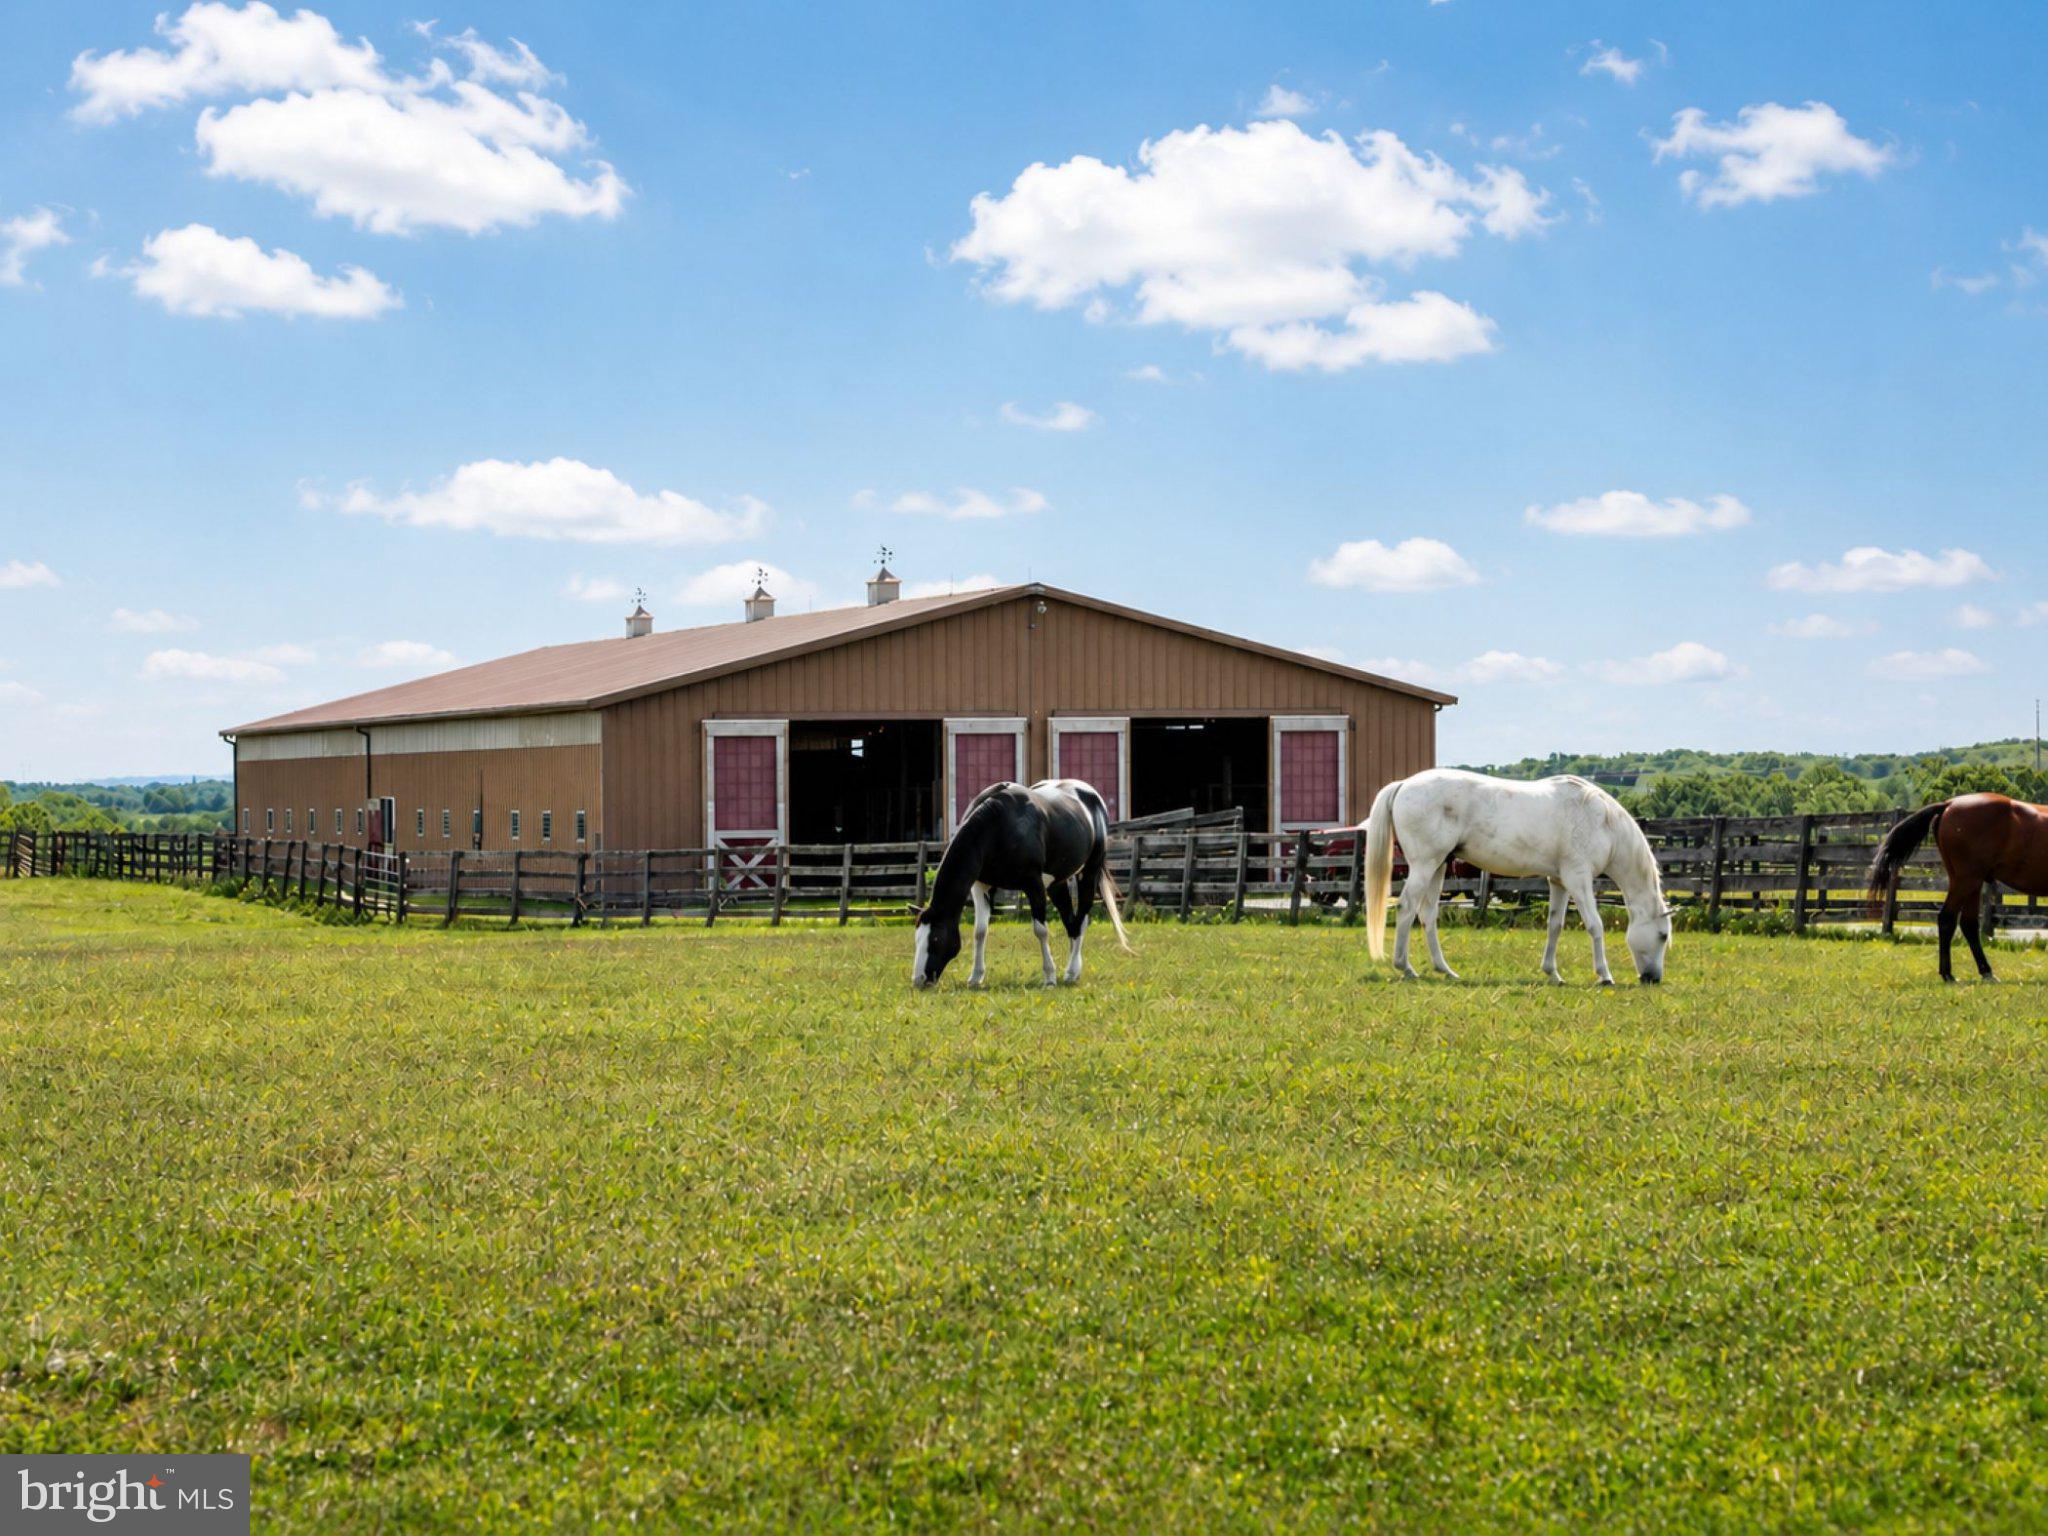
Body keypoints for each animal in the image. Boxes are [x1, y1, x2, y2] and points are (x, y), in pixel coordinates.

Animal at [912, 778, 1132, 989]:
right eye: (917, 938)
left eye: (935, 939)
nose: (919, 980)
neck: (998, 826)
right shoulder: (980, 886)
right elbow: (980, 931)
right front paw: (975, 977)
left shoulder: (1033, 884)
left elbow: (1041, 931)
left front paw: (1049, 977)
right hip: (1057, 883)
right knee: (1071, 922)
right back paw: (1071, 970)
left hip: (1089, 872)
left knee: (1082, 918)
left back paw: (1072, 971)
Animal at [1362, 768, 1673, 985]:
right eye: (1662, 935)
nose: (1653, 979)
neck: (1601, 821)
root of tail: (1404, 784)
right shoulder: (1578, 879)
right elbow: (1595, 925)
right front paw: (1605, 976)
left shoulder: (1559, 882)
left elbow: (1555, 925)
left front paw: (1553, 974)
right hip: (1425, 865)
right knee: (1406, 908)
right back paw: (1406, 968)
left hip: (1438, 867)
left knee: (1427, 915)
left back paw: (1446, 970)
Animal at [1866, 793, 2048, 982]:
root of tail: (1949, 804)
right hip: (1967, 880)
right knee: (1947, 918)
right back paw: (1948, 974)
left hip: (1970, 882)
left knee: (1968, 924)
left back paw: (1984, 971)